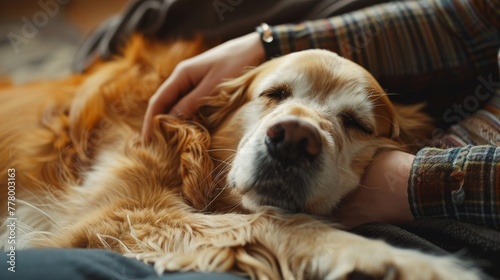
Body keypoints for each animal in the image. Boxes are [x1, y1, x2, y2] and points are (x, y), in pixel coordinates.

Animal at [0, 36, 480, 278]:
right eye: (274, 93)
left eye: (356, 123)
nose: (293, 139)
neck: (183, 143)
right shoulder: (121, 216)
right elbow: (276, 223)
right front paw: (413, 264)